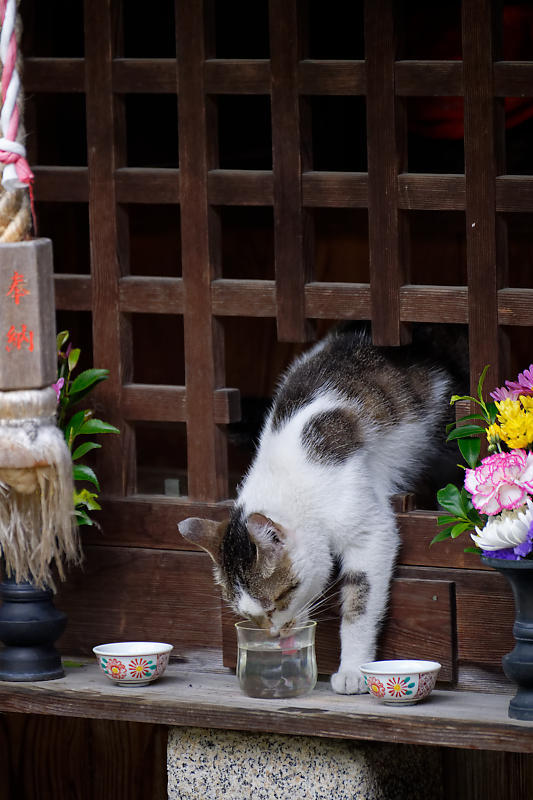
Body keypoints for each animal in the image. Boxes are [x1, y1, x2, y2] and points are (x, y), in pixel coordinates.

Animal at [179, 322, 466, 692]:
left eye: (280, 599)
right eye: (248, 616)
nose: (276, 634)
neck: (288, 479)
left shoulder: (369, 531)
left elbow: (359, 604)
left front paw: (353, 670)